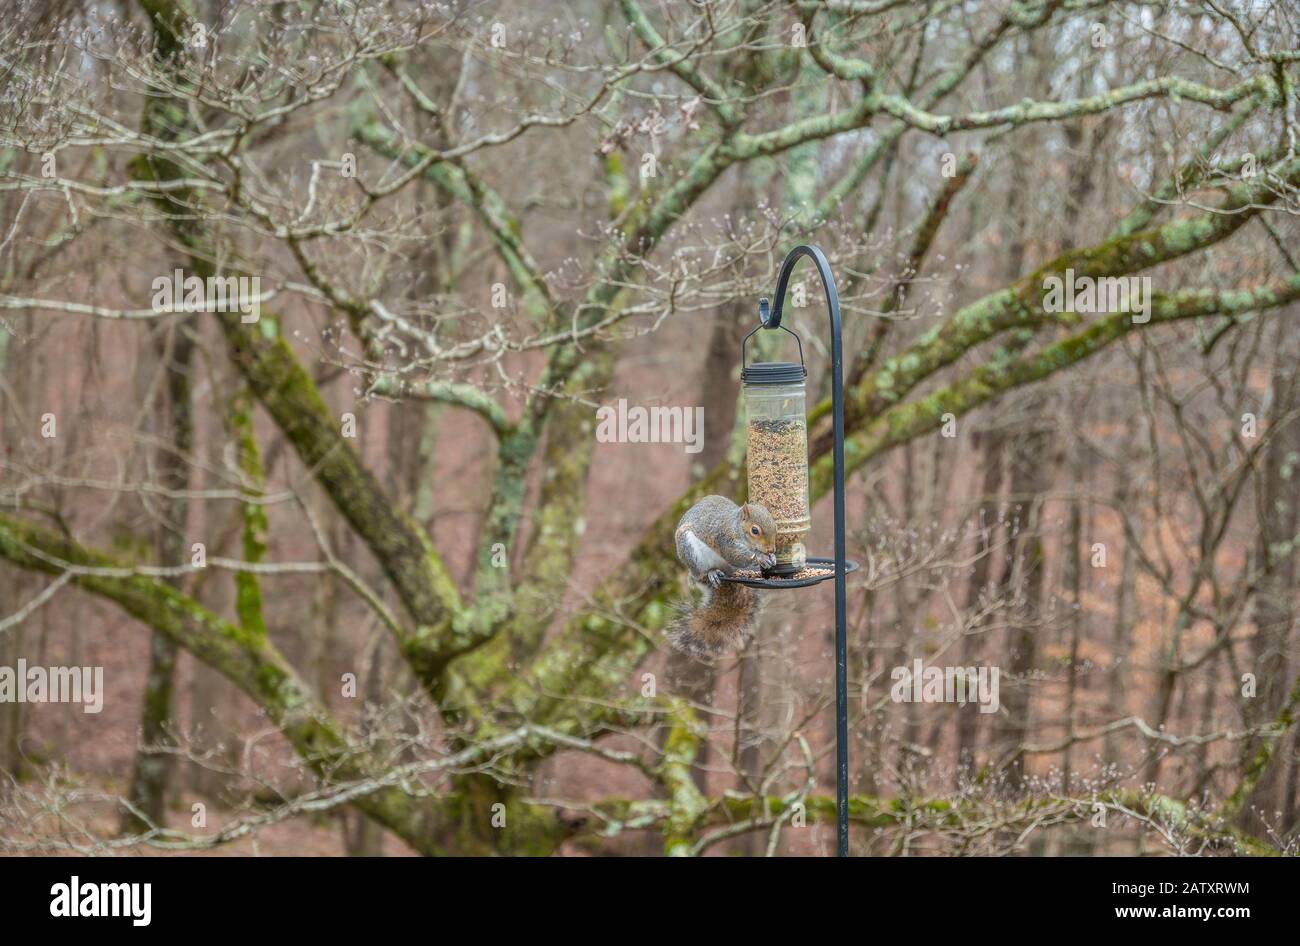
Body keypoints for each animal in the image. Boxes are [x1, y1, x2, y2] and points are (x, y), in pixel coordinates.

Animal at [667, 495, 777, 659]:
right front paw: (761, 558)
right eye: (755, 530)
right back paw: (711, 573)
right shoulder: (724, 539)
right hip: (691, 551)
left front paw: (771, 558)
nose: (771, 549)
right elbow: (734, 555)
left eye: (775, 526)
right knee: (702, 572)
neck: (736, 526)